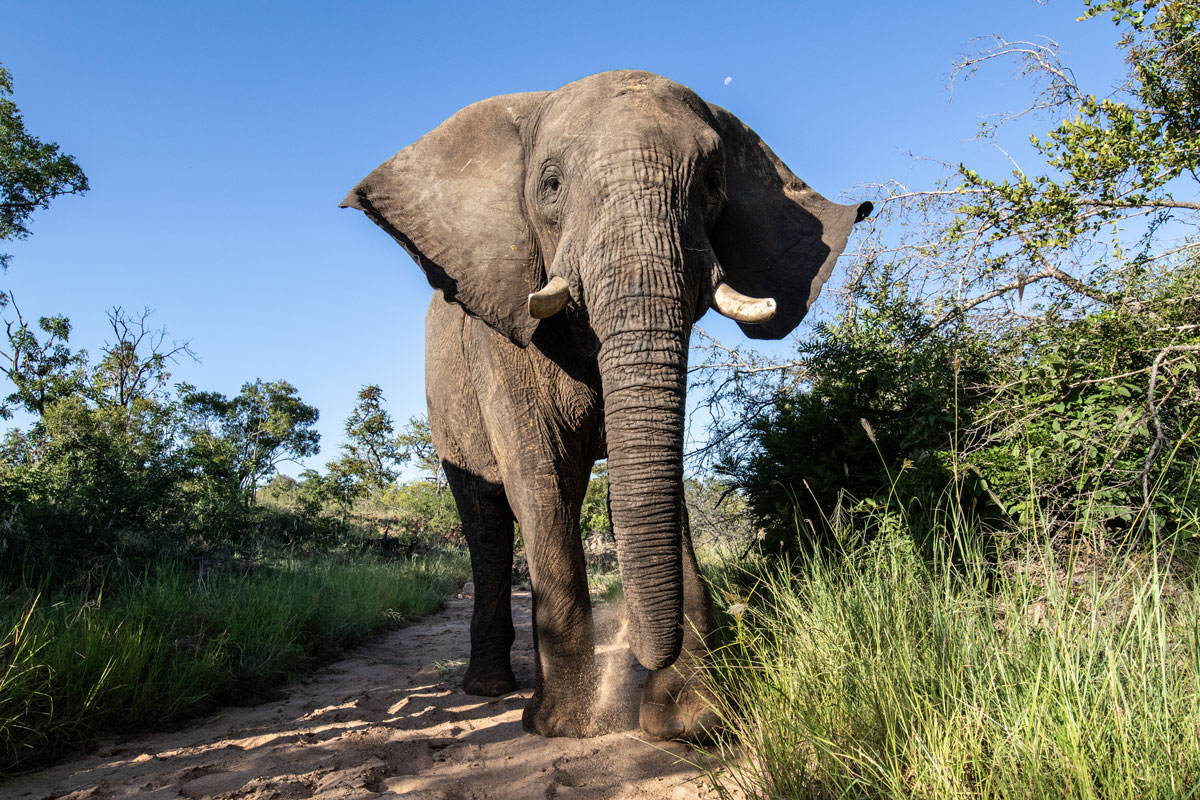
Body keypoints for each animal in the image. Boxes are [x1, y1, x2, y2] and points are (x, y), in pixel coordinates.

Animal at [341, 70, 871, 740]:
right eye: (550, 185)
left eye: (713, 183)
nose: (646, 659)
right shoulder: (502, 334)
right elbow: (541, 480)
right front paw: (564, 726)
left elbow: (644, 485)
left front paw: (689, 721)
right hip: (446, 402)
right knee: (487, 517)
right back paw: (489, 689)